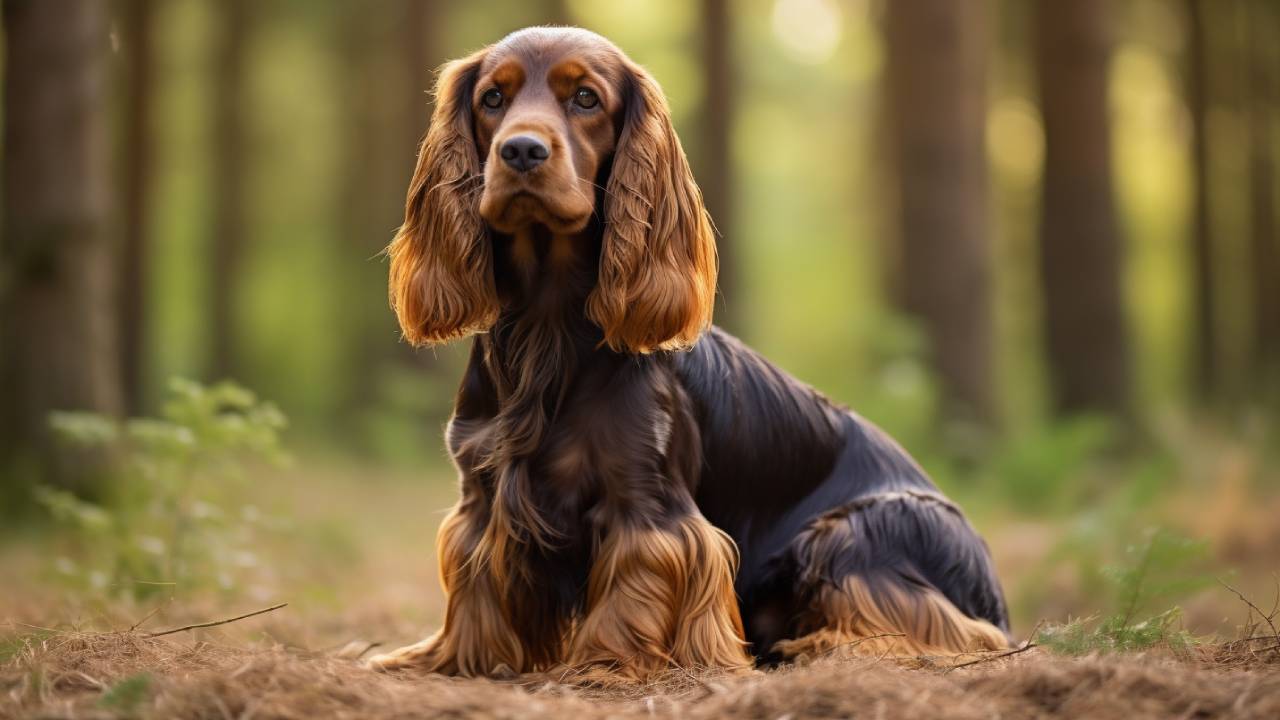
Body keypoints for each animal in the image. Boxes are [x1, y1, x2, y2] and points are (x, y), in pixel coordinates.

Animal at [363, 28, 1008, 676]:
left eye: (586, 99)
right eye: (493, 99)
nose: (521, 150)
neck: (547, 327)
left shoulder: (646, 503)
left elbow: (635, 582)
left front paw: (610, 663)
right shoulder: (482, 494)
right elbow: (474, 589)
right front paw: (452, 658)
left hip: (856, 530)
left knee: (960, 632)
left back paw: (826, 645)